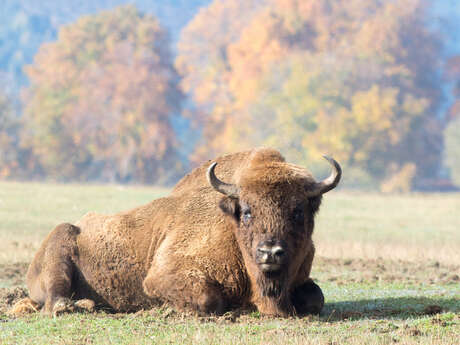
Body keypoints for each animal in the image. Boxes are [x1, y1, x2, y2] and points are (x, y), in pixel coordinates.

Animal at [14, 146, 340, 316]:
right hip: (58, 252)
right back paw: (79, 305)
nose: (270, 252)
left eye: (298, 211)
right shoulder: (163, 275)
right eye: (247, 210)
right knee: (56, 299)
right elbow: (208, 299)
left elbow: (315, 298)